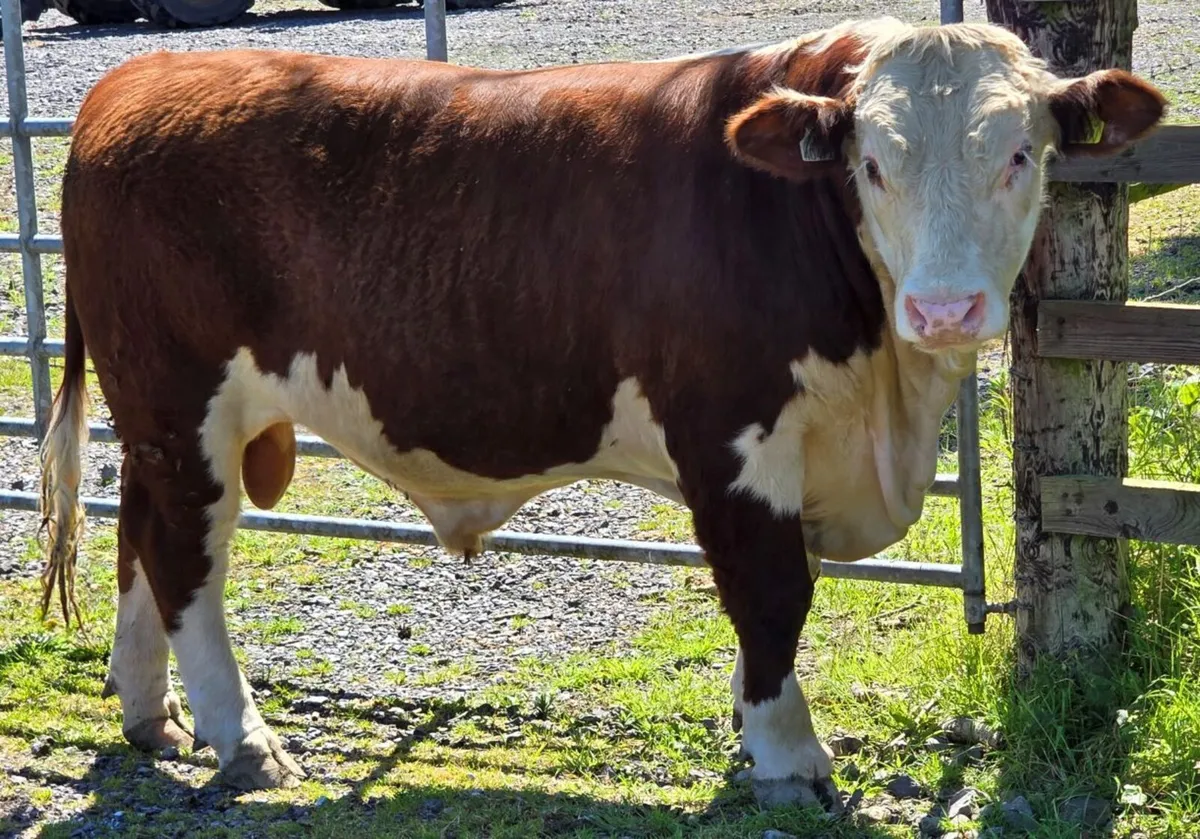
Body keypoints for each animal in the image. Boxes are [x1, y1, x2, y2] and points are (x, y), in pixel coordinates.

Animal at [37, 17, 1165, 809]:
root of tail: (140, 79)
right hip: (183, 400)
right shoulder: (732, 438)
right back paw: (245, 739)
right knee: (185, 552)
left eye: (1019, 153)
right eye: (872, 162)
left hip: (160, 416)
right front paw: (788, 755)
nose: (944, 308)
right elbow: (772, 595)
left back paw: (148, 710)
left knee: (140, 532)